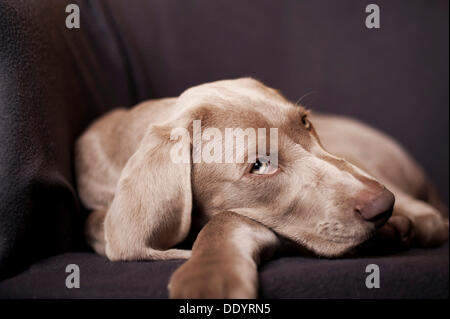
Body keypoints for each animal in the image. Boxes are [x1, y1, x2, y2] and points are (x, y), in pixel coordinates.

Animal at [75, 78, 448, 300]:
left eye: (305, 122)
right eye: (260, 165)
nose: (384, 204)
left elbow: (224, 221)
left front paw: (209, 279)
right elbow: (94, 224)